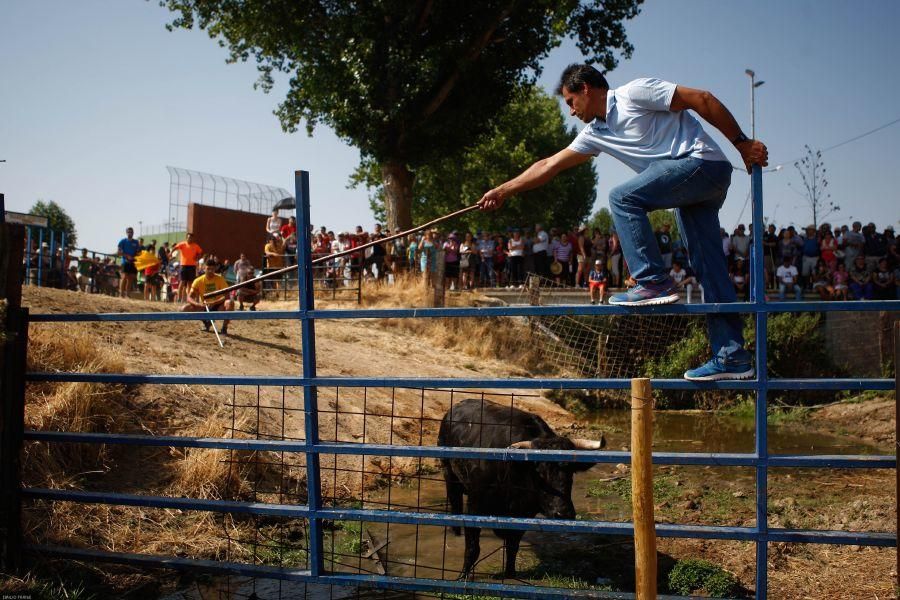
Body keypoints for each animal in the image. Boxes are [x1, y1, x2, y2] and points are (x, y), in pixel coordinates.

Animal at [436, 400, 604, 580]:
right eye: (539, 472)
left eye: (570, 472)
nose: (563, 513)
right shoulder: (475, 505)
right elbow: (472, 547)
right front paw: (463, 576)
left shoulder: (524, 512)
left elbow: (512, 545)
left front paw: (510, 573)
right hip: (450, 475)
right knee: (455, 506)